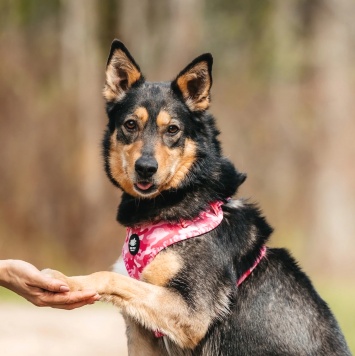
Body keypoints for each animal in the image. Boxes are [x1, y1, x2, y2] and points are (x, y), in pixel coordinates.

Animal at [45, 40, 354, 354]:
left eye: (173, 129)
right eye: (130, 125)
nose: (145, 168)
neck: (176, 202)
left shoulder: (191, 312)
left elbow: (109, 277)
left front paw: (69, 281)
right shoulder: (143, 334)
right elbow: (120, 282)